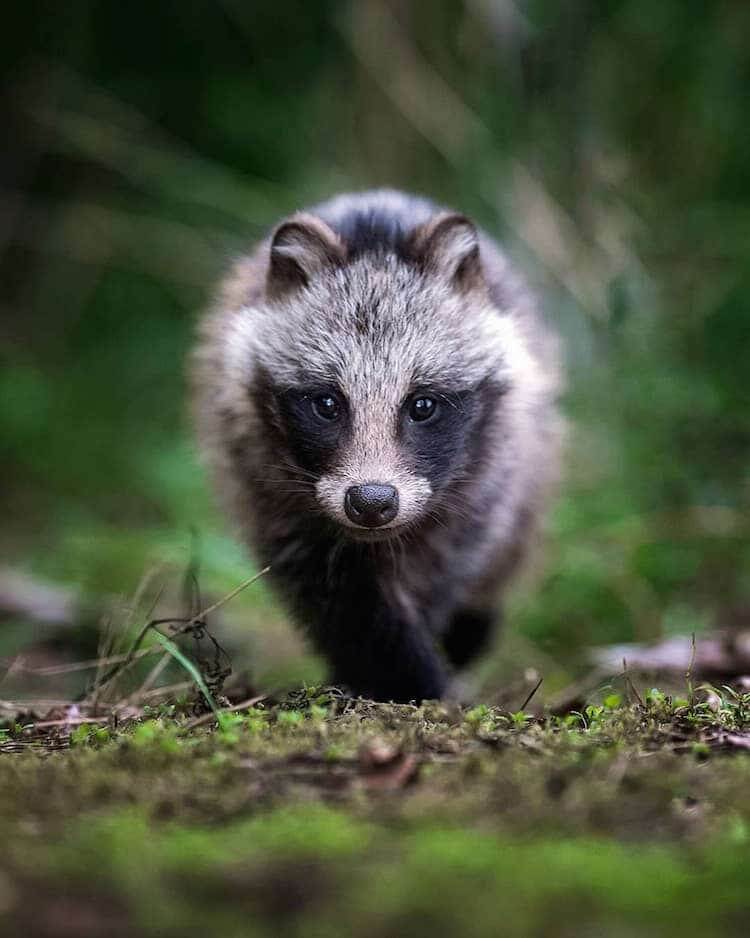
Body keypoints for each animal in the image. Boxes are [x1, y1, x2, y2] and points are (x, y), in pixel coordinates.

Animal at [191, 190, 560, 700]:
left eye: (422, 405)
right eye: (327, 403)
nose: (371, 502)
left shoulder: (488, 478)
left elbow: (442, 570)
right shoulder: (260, 476)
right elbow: (338, 592)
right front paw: (396, 672)